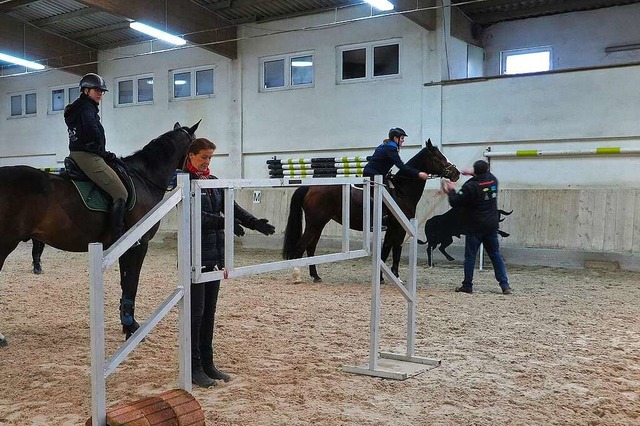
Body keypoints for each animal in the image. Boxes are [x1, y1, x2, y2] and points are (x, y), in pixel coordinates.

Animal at [0, 120, 200, 346]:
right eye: (196, 146)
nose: (202, 173)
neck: (143, 179)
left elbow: (125, 282)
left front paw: (126, 323)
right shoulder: (139, 244)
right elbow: (131, 283)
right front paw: (132, 328)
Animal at [282, 138, 458, 282]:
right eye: (438, 157)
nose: (456, 173)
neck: (402, 190)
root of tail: (310, 187)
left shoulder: (394, 228)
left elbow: (387, 250)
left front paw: (383, 277)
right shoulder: (398, 227)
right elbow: (394, 250)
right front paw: (394, 276)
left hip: (318, 224)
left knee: (310, 248)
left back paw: (315, 276)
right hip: (315, 223)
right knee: (300, 247)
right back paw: (297, 275)